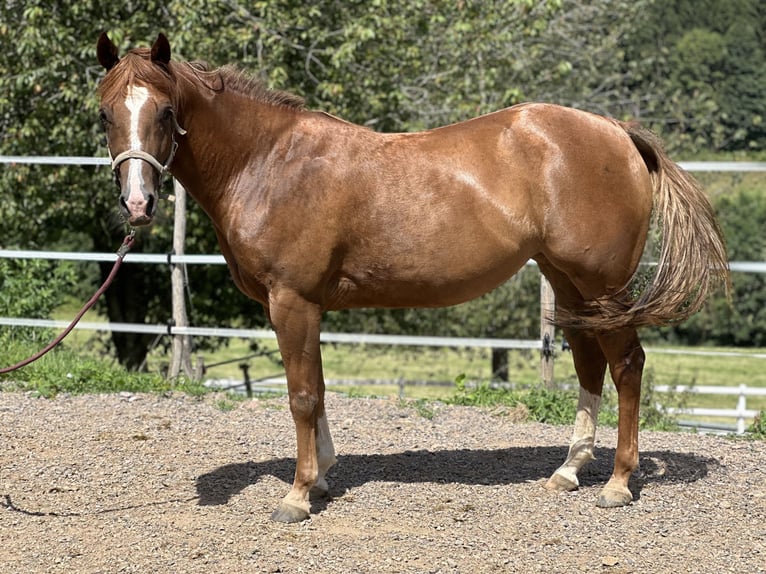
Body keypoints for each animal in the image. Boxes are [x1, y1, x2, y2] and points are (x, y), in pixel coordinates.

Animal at [96, 32, 729, 523]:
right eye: (106, 114)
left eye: (166, 112)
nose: (137, 204)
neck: (269, 161)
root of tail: (618, 133)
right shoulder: (307, 307)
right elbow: (318, 390)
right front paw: (322, 477)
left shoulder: (291, 301)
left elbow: (301, 396)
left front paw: (298, 496)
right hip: (569, 282)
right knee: (589, 364)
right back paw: (569, 470)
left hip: (603, 285)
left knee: (626, 367)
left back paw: (619, 483)